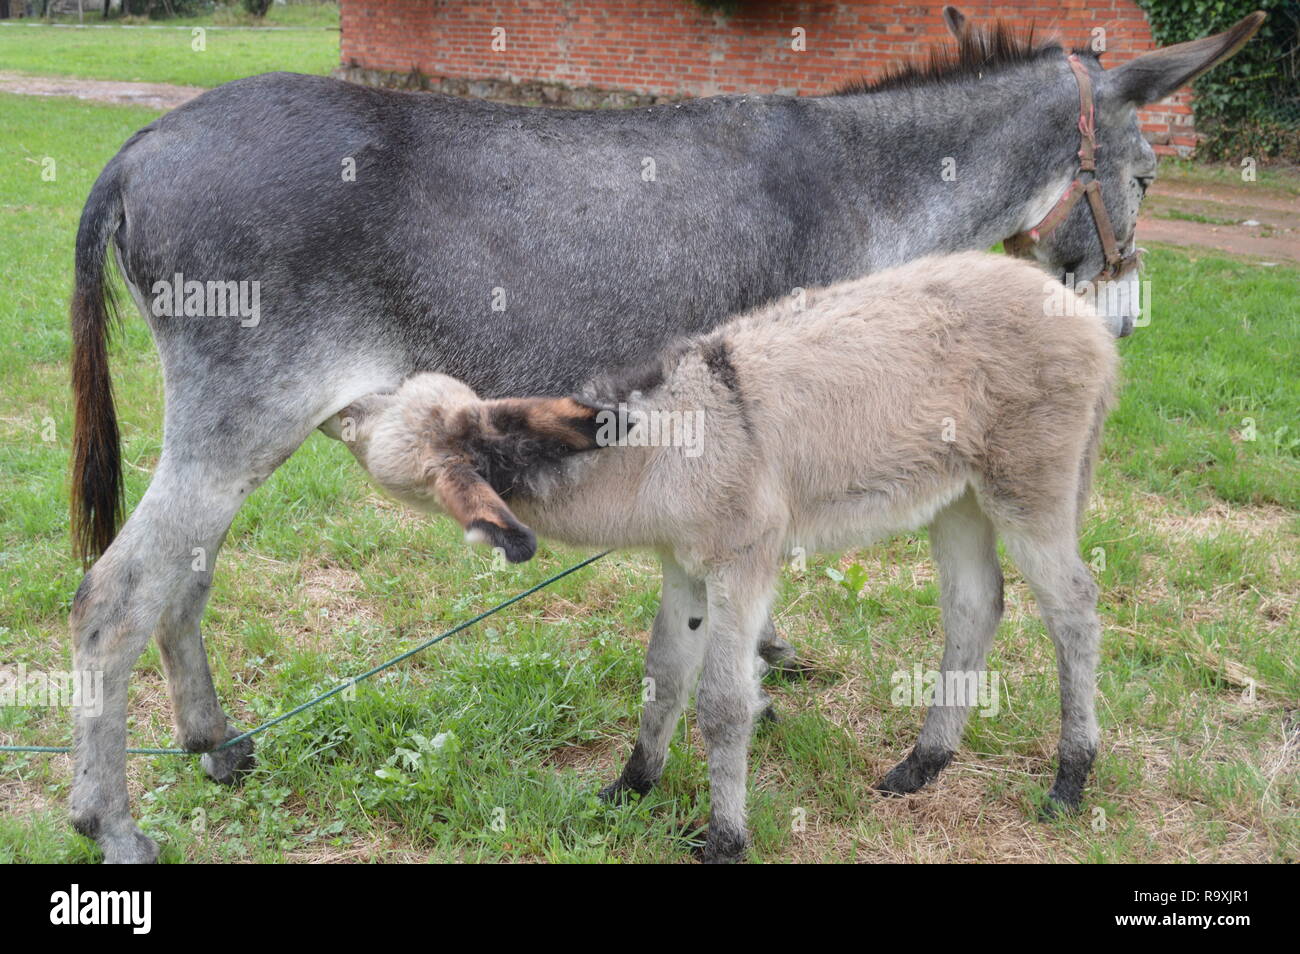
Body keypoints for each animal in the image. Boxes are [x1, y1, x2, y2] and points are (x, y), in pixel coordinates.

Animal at [327, 250, 1118, 863]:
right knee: (975, 606)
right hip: (957, 495)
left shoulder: (742, 563)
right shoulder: (684, 567)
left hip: (1029, 483)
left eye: (375, 424)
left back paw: (1070, 778)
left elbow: (723, 703)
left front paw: (724, 839)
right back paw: (924, 764)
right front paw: (630, 788)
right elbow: (663, 675)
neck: (660, 450)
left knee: (1072, 608)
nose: (341, 408)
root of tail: (1083, 318)